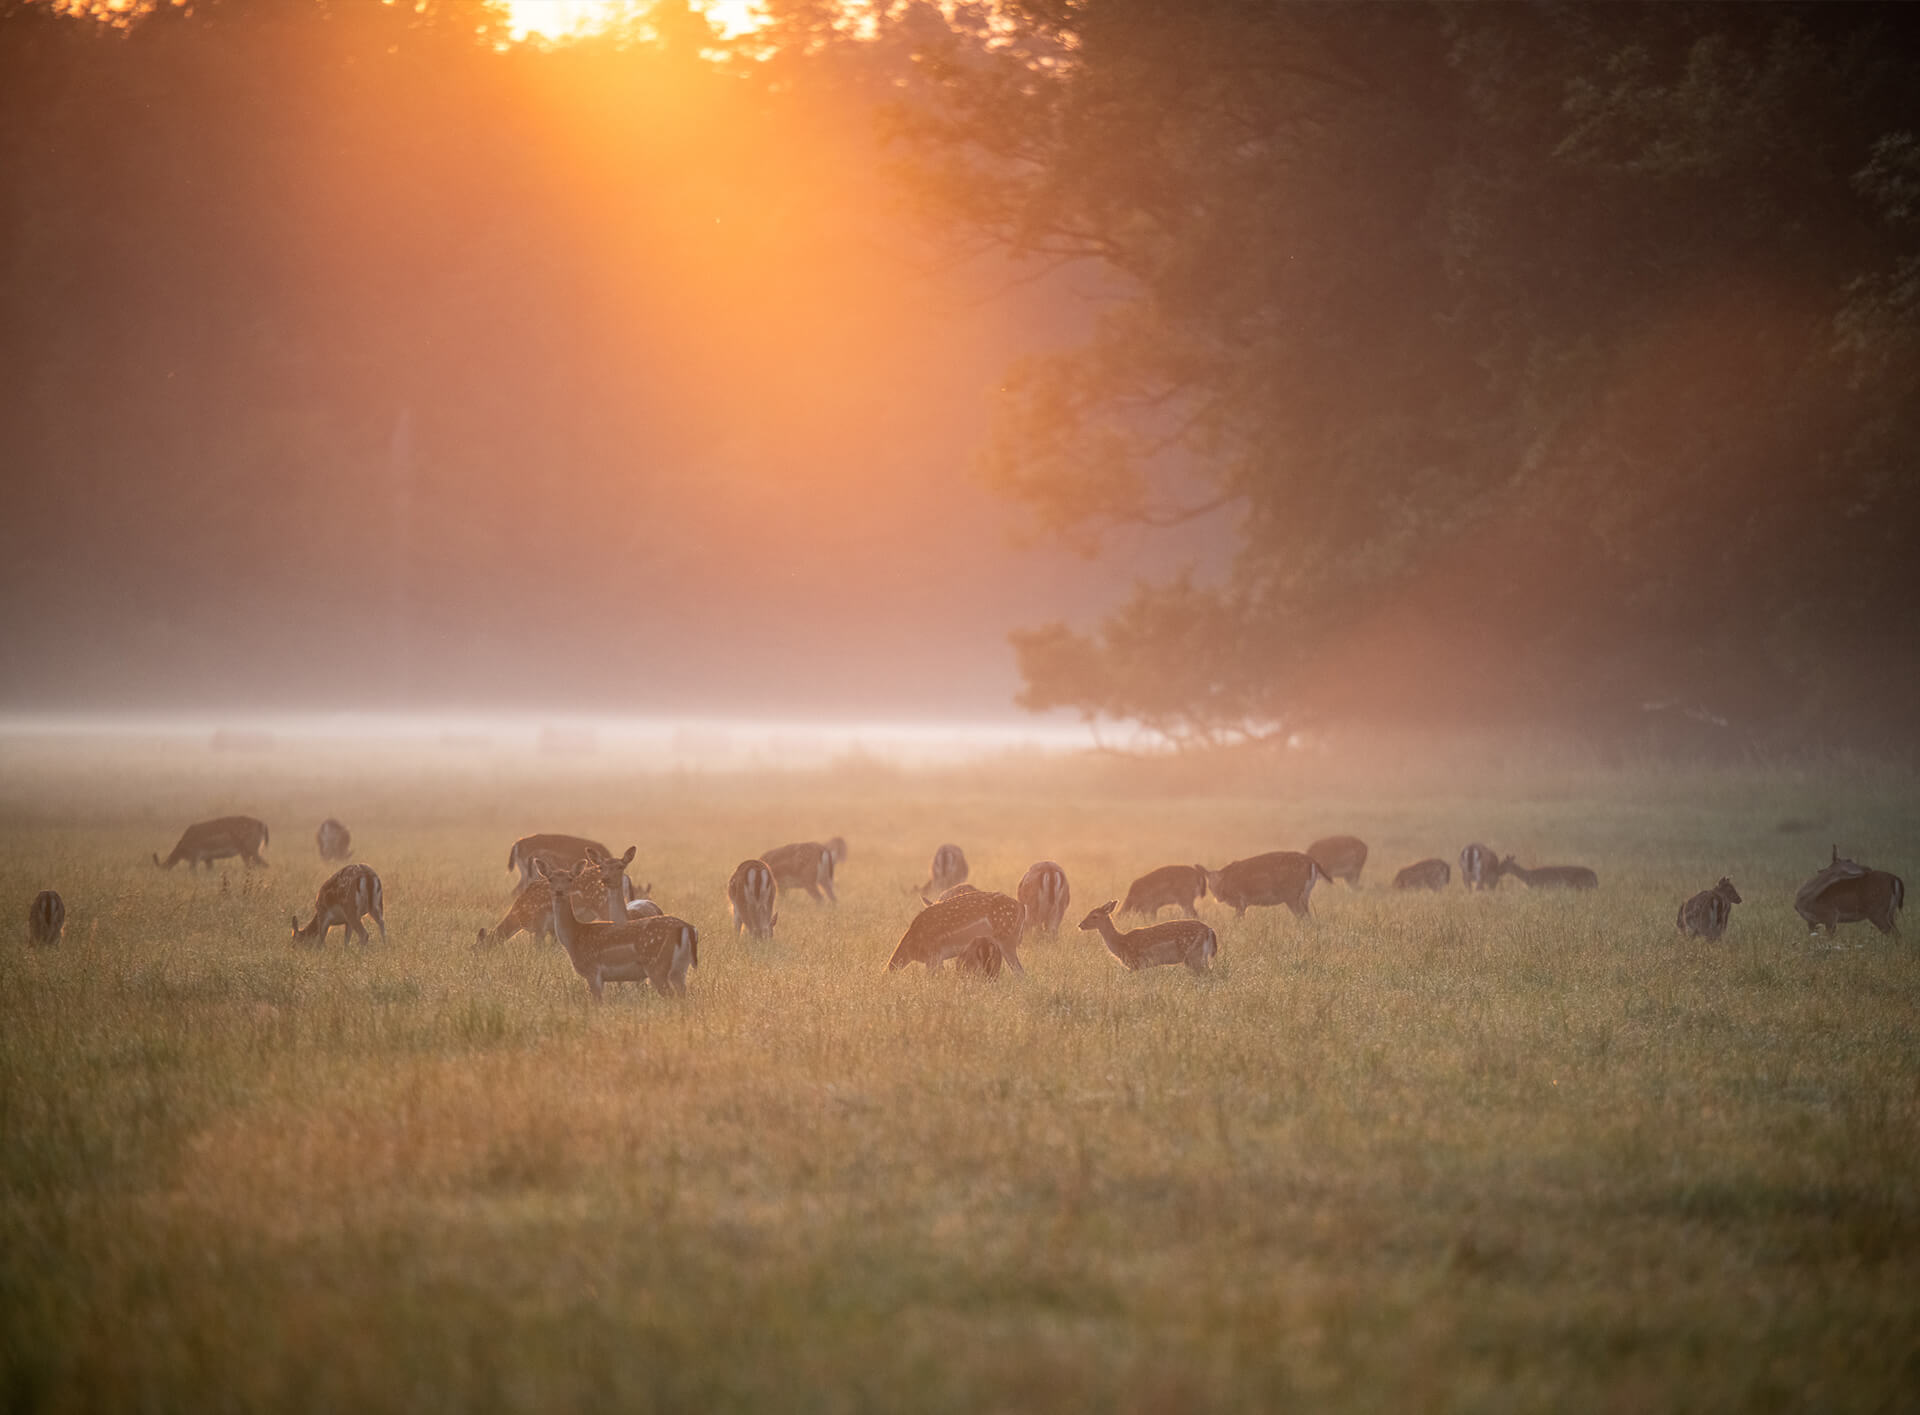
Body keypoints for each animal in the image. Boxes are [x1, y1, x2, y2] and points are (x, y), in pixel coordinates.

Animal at [1082, 906, 1213, 971]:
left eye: (1094, 916)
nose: (1080, 925)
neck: (1121, 944)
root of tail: (1209, 930)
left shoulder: (1137, 964)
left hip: (1194, 955)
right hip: (1199, 956)